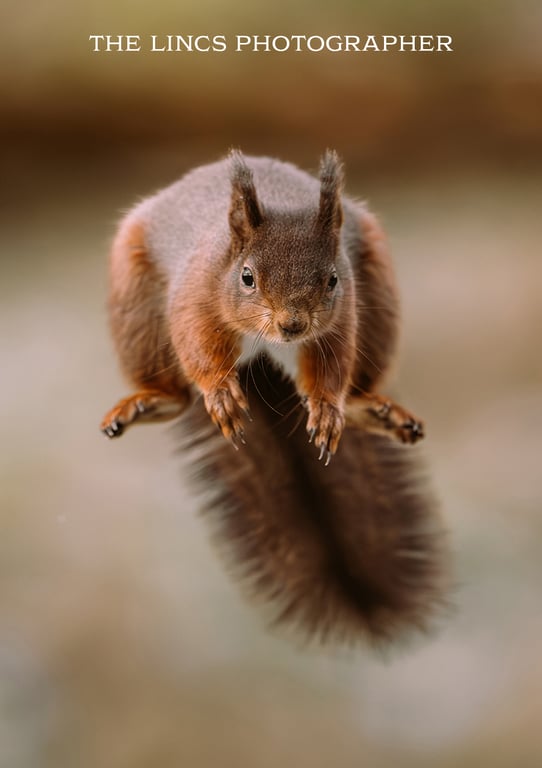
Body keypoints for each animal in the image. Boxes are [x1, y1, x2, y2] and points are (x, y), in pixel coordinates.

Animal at [101, 150, 449, 646]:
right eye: (247, 277)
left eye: (332, 280)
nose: (292, 325)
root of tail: (262, 359)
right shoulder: (194, 298)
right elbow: (198, 347)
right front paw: (220, 394)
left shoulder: (341, 320)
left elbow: (331, 370)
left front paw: (326, 410)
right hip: (136, 305)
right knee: (176, 391)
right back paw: (154, 400)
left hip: (378, 297)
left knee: (358, 384)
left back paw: (370, 409)